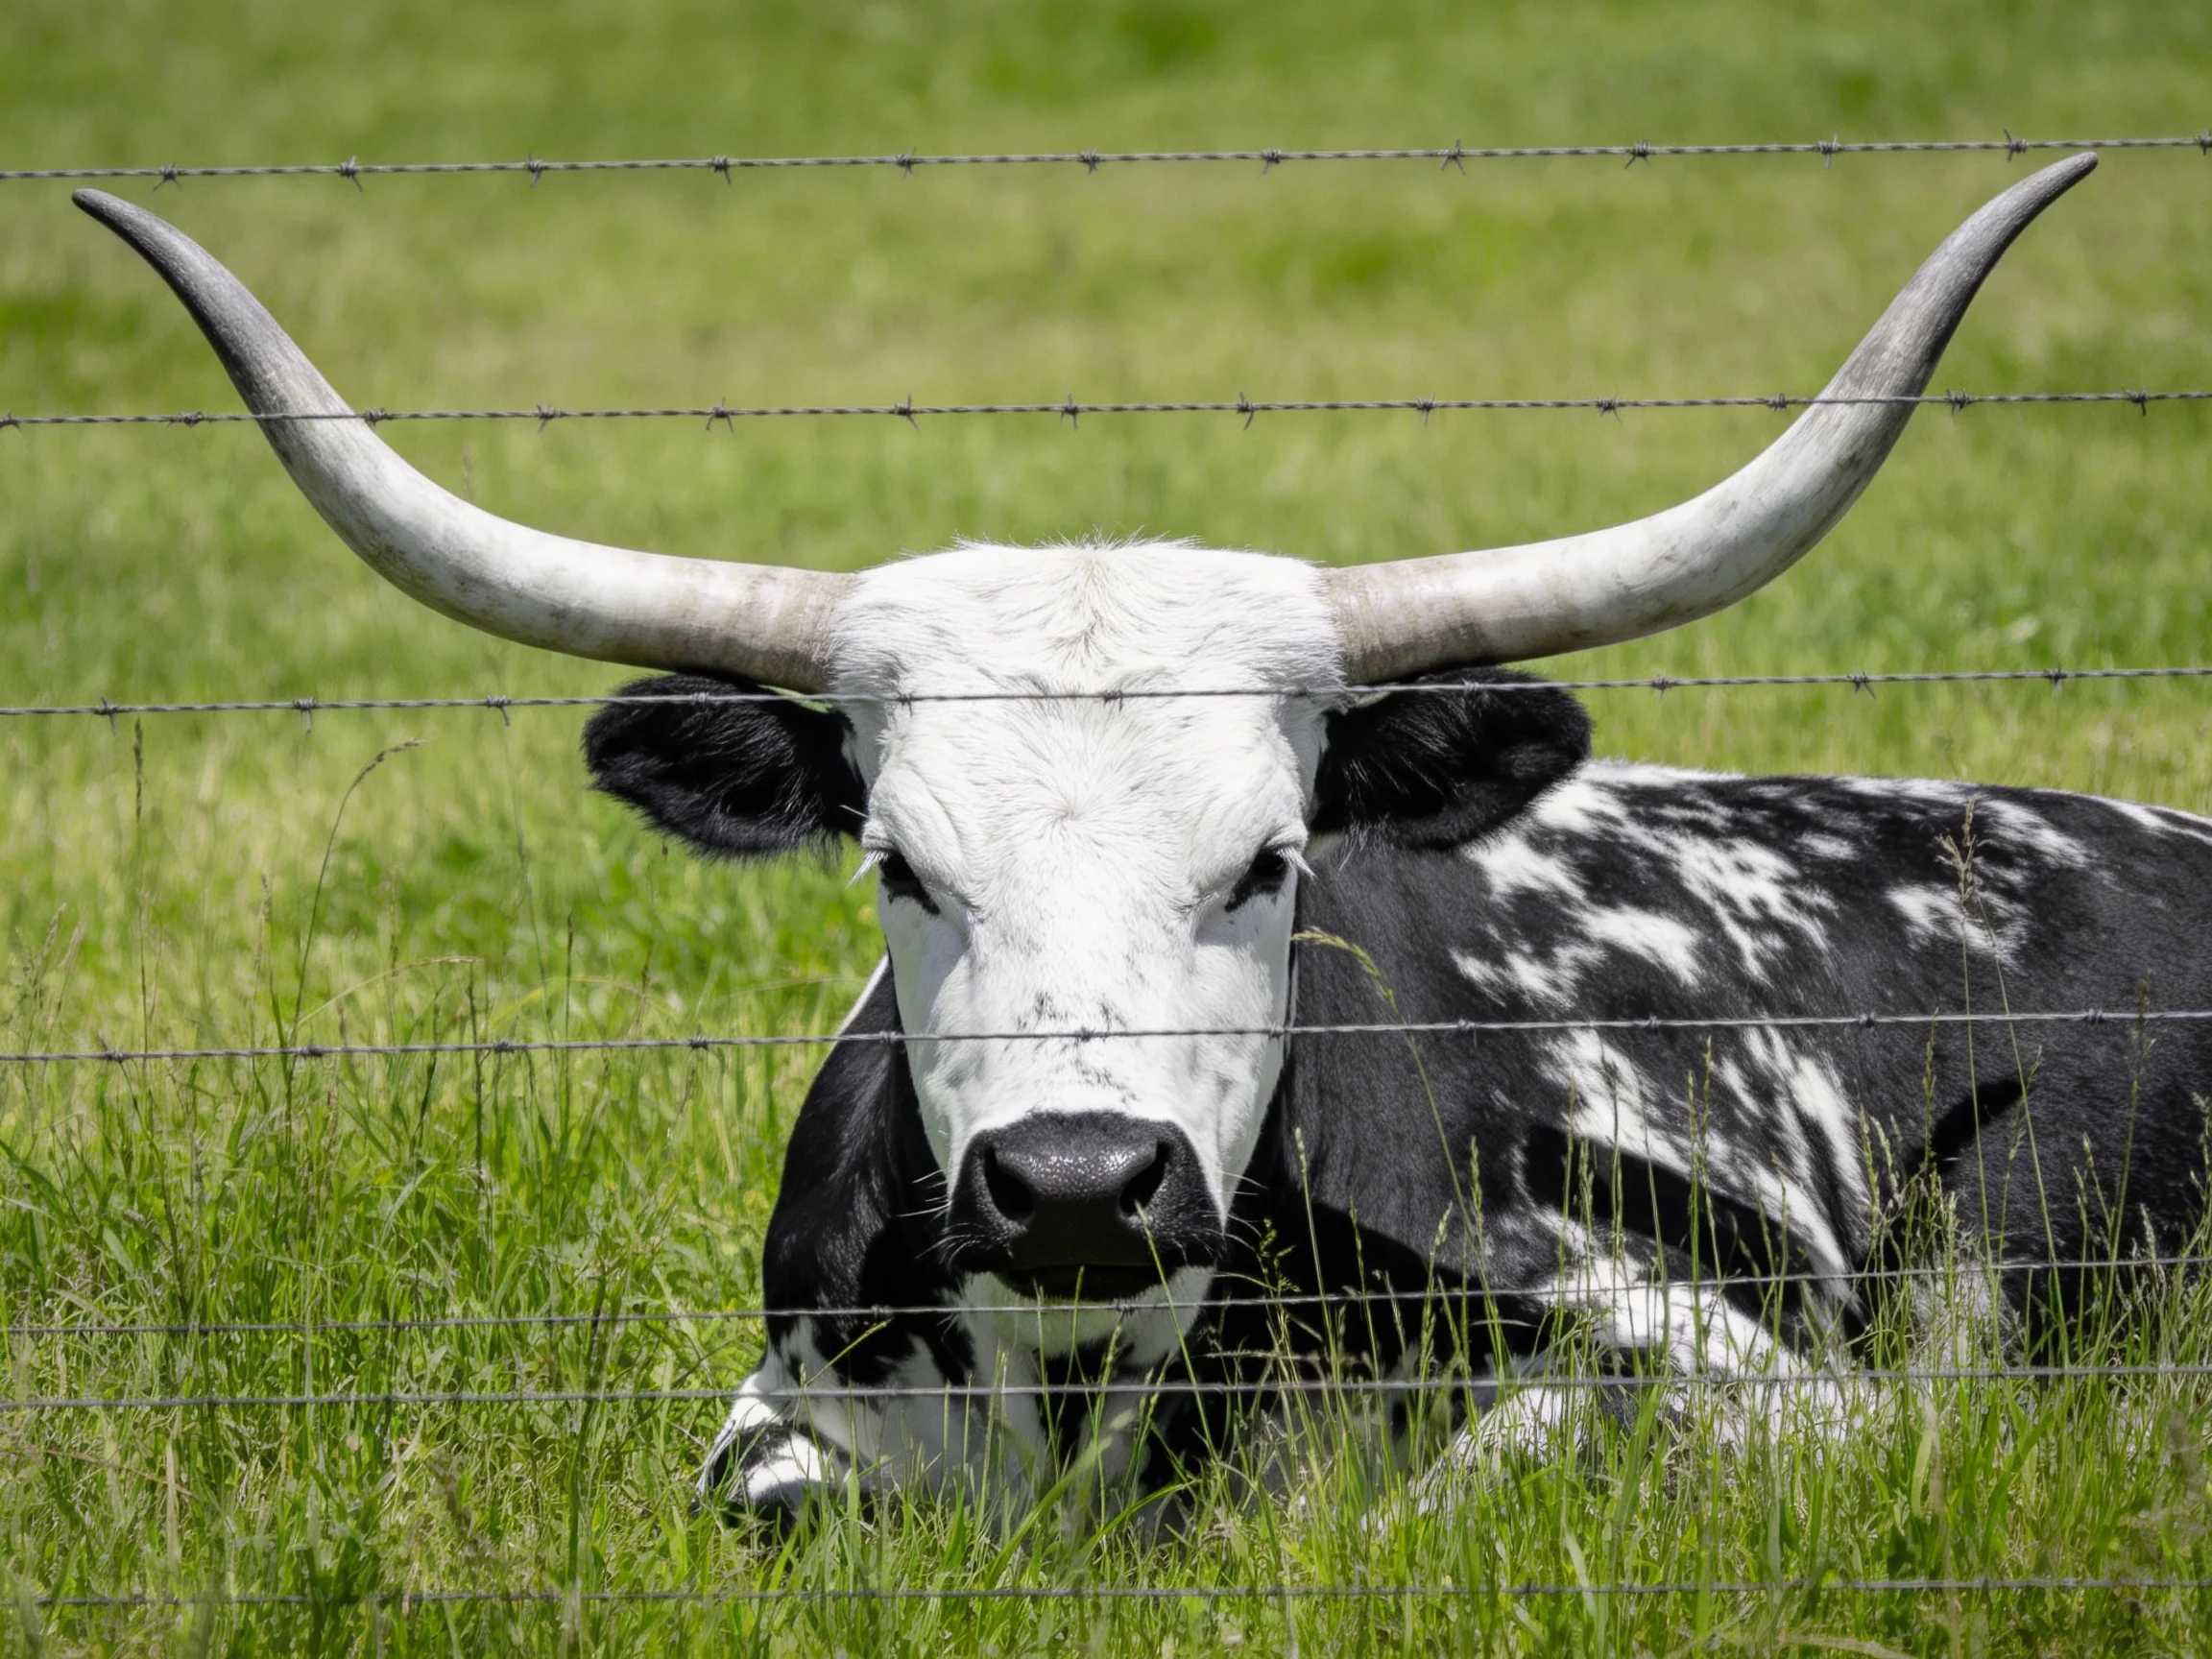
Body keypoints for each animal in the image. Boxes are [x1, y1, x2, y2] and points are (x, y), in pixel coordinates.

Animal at [76, 153, 2212, 1525]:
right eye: (898, 866)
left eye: (1267, 860)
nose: (1077, 1180)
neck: (1081, 1388)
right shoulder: (776, 1424)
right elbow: (766, 1499)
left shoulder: (1769, 1391)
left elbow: (1473, 1479)